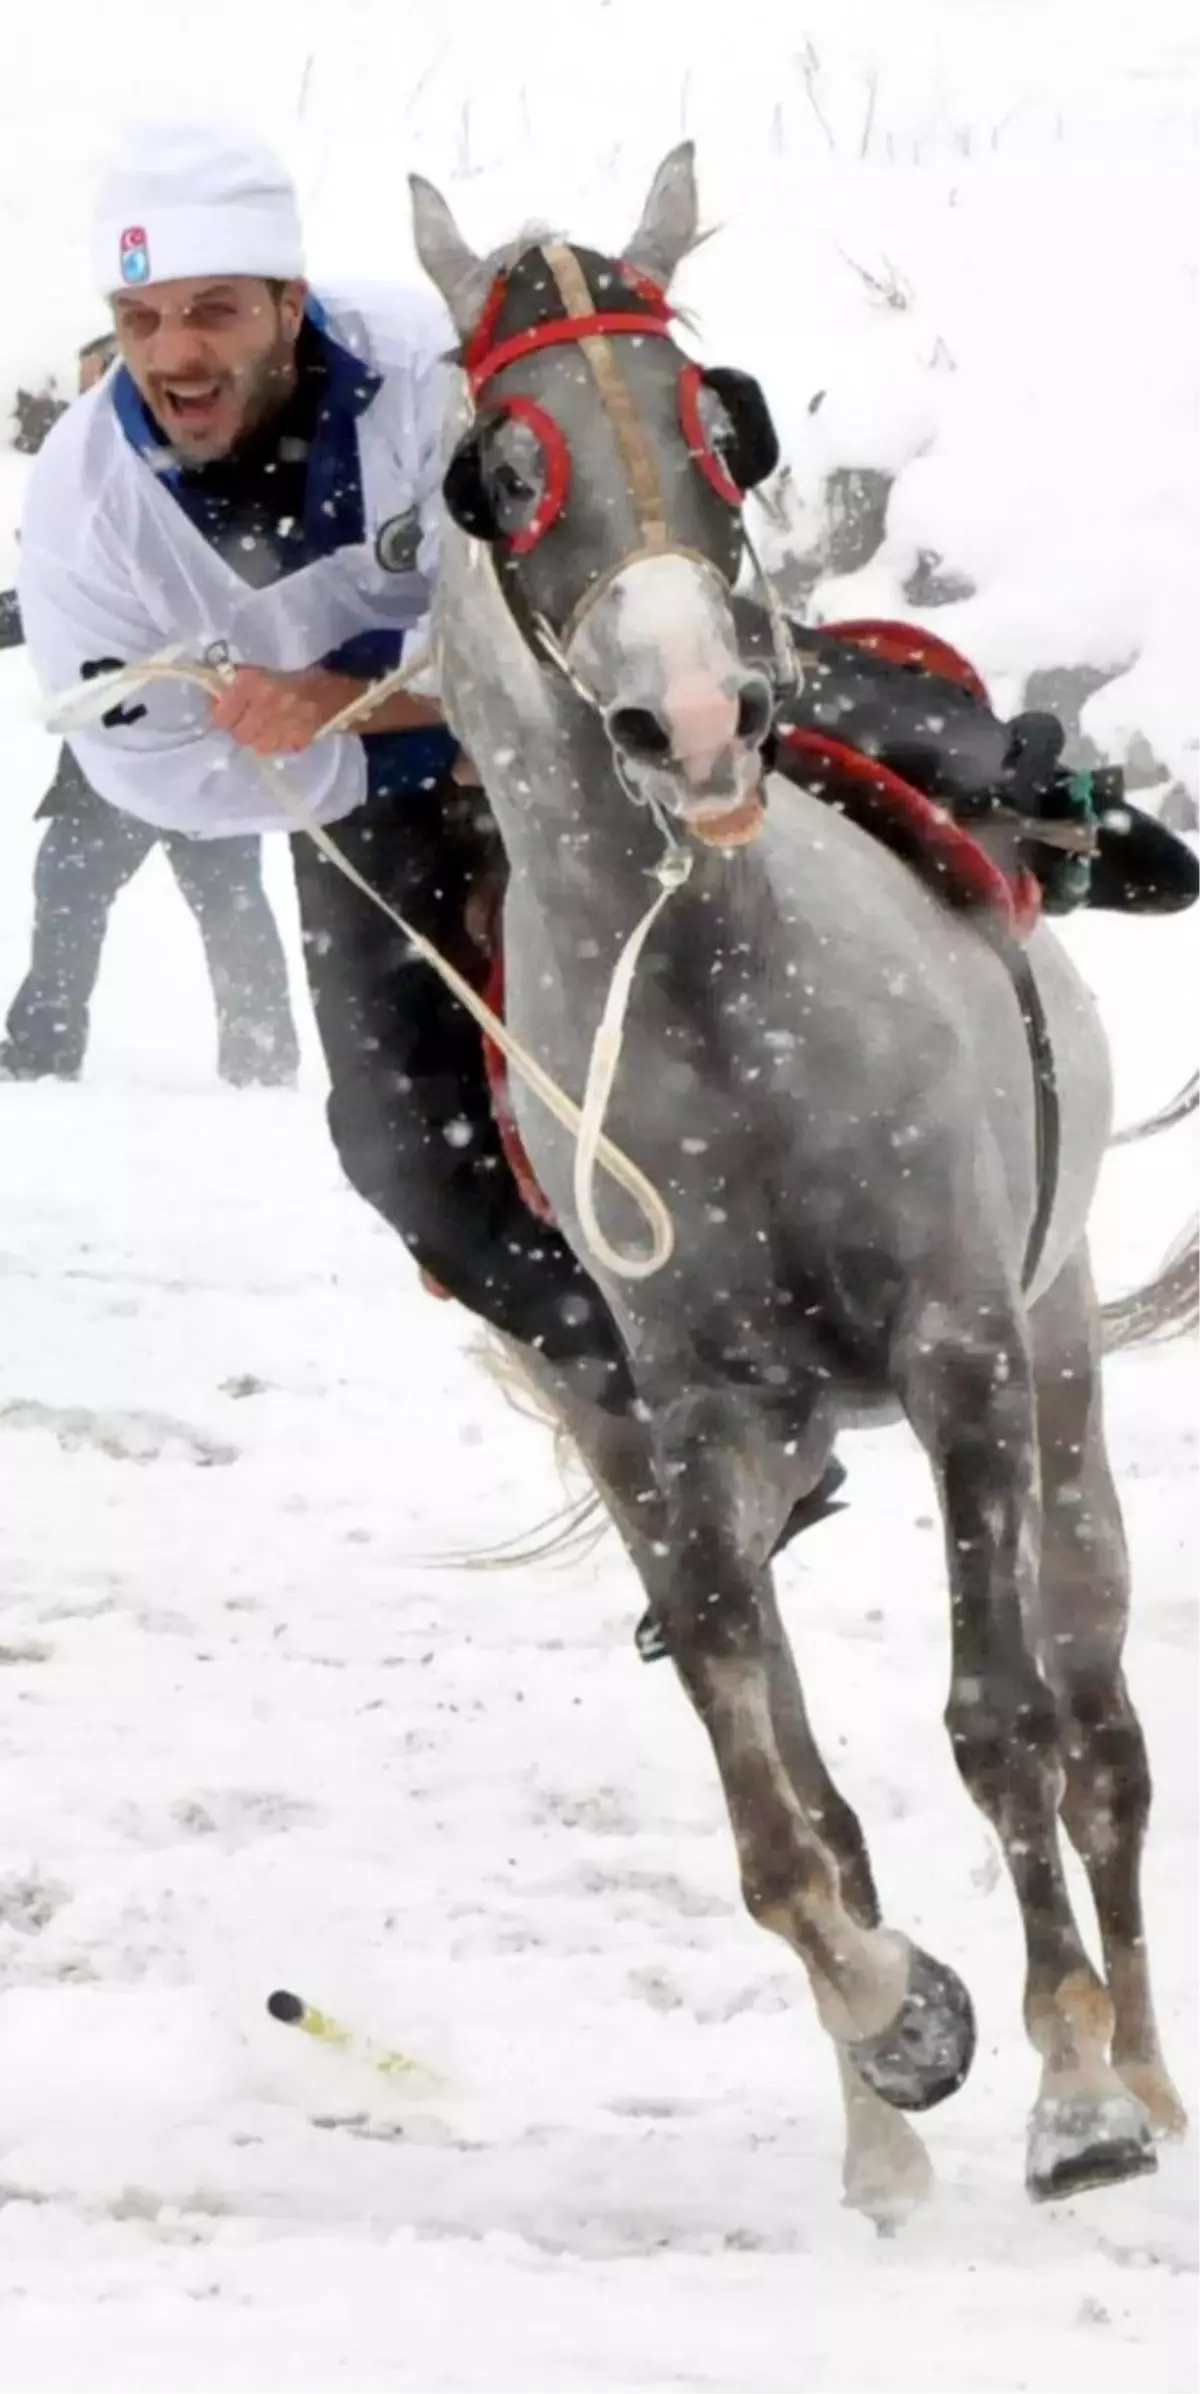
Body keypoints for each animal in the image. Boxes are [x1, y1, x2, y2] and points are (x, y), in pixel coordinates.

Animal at [407, 140, 1183, 2212]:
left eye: (716, 418)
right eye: (503, 464)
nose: (693, 711)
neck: (720, 983)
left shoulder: (961, 1352)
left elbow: (1001, 1725)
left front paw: (1073, 2091)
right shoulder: (694, 1415)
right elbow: (777, 1802)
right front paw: (901, 2029)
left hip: (1058, 1375)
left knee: (1100, 1734)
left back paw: (1146, 2072)